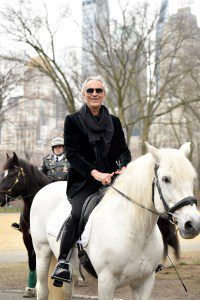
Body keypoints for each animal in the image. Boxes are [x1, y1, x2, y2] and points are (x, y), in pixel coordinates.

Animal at [30, 144, 200, 300]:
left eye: (192, 179)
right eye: (166, 179)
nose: (192, 224)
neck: (134, 231)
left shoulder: (145, 282)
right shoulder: (107, 282)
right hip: (42, 252)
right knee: (42, 289)